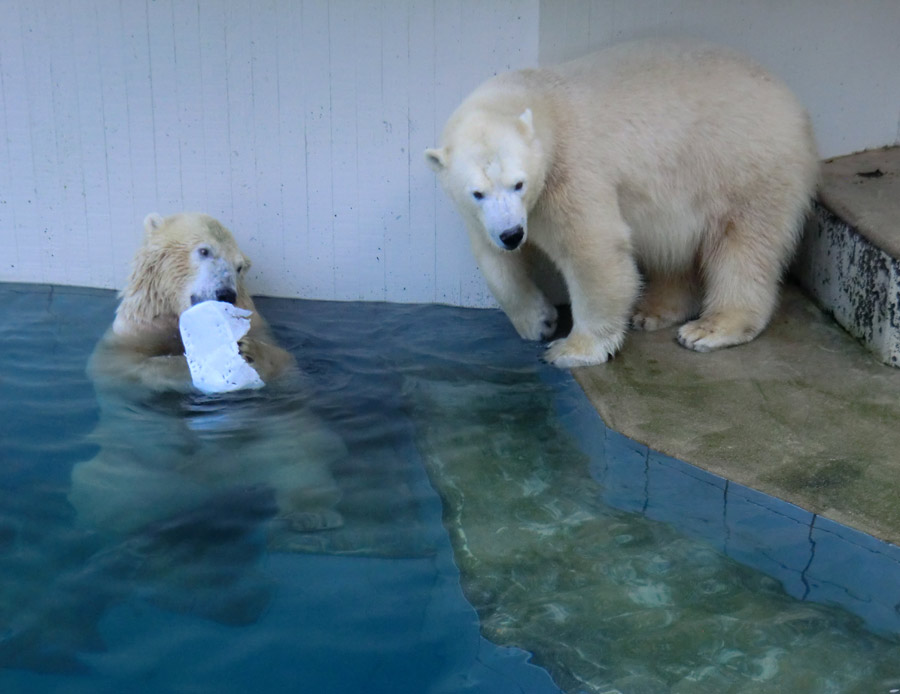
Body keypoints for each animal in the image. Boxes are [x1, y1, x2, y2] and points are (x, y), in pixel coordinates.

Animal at [426, 40, 820, 370]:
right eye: (477, 193)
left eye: (519, 184)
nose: (512, 234)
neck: (542, 102)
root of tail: (794, 105)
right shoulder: (486, 216)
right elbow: (494, 261)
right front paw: (539, 321)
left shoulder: (572, 172)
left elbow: (593, 250)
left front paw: (570, 349)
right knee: (675, 249)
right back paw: (653, 311)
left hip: (745, 166)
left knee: (745, 245)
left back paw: (712, 327)